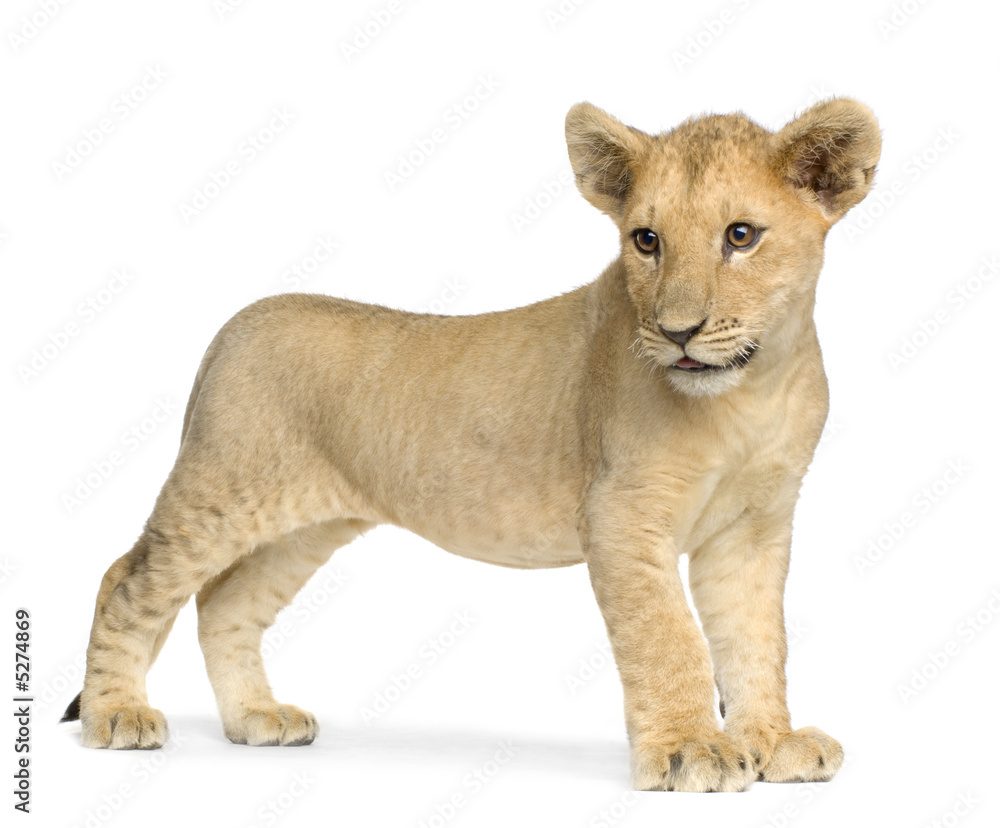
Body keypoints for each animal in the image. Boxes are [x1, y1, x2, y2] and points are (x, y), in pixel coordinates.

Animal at [63, 97, 880, 792]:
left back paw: (255, 719)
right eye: (646, 240)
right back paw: (116, 715)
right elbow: (668, 639)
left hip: (305, 527)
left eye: (741, 236)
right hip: (221, 489)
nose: (677, 332)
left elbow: (755, 641)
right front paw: (689, 751)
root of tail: (234, 324)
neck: (750, 393)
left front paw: (771, 744)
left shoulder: (753, 529)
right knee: (126, 579)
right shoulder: (622, 515)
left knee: (223, 603)